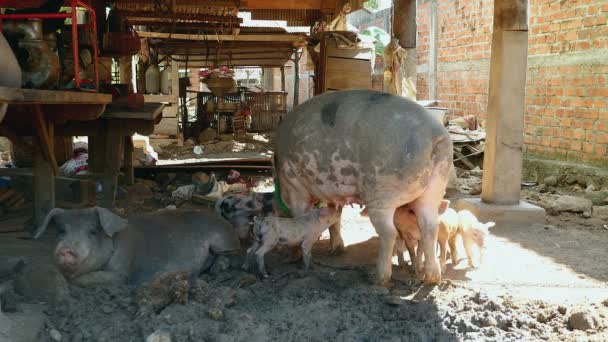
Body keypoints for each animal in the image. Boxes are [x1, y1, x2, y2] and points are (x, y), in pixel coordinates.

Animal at [34, 207, 241, 288]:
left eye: (92, 231)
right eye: (61, 231)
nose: (65, 249)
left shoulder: (122, 274)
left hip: (221, 238)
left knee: (234, 254)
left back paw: (218, 270)